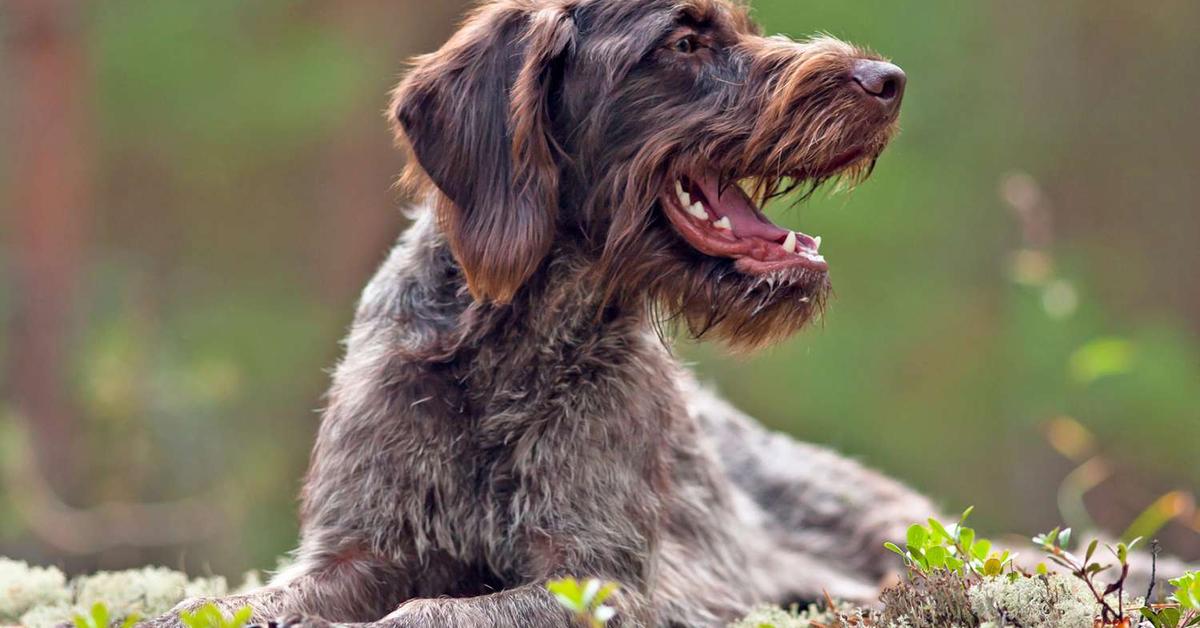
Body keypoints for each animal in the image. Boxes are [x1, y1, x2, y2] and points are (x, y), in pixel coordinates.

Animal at [150, 0, 936, 624]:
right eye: (684, 42)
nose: (888, 80)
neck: (508, 351)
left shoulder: (600, 577)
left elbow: (429, 612)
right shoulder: (355, 552)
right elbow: (225, 604)